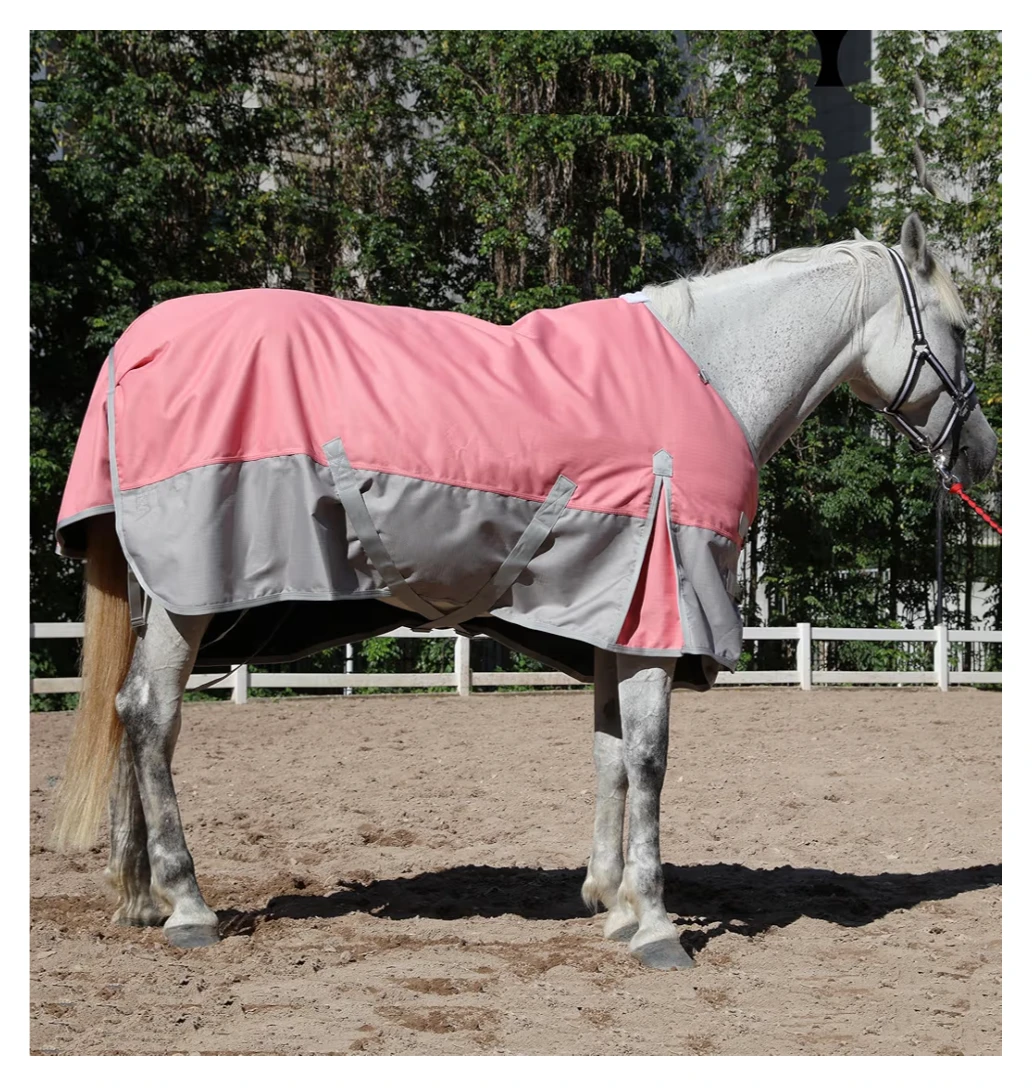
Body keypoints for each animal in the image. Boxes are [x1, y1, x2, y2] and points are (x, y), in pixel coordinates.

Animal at [50, 212, 997, 969]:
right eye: (956, 329)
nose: (981, 453)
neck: (714, 376)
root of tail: (136, 344)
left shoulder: (617, 614)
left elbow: (611, 753)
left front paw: (612, 901)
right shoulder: (660, 613)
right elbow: (649, 759)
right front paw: (656, 925)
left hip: (167, 598)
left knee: (129, 714)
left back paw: (139, 896)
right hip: (191, 596)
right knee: (152, 716)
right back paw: (186, 905)